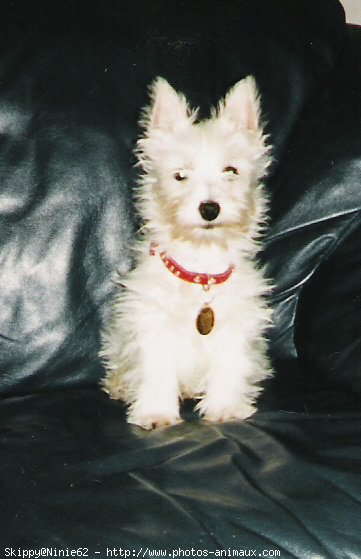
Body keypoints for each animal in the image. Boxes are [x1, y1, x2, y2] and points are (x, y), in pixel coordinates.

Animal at [100, 76, 272, 430]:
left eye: (231, 171)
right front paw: (155, 412)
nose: (209, 208)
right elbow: (156, 372)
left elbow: (230, 366)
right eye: (180, 175)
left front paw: (225, 408)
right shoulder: (152, 326)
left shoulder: (236, 326)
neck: (201, 267)